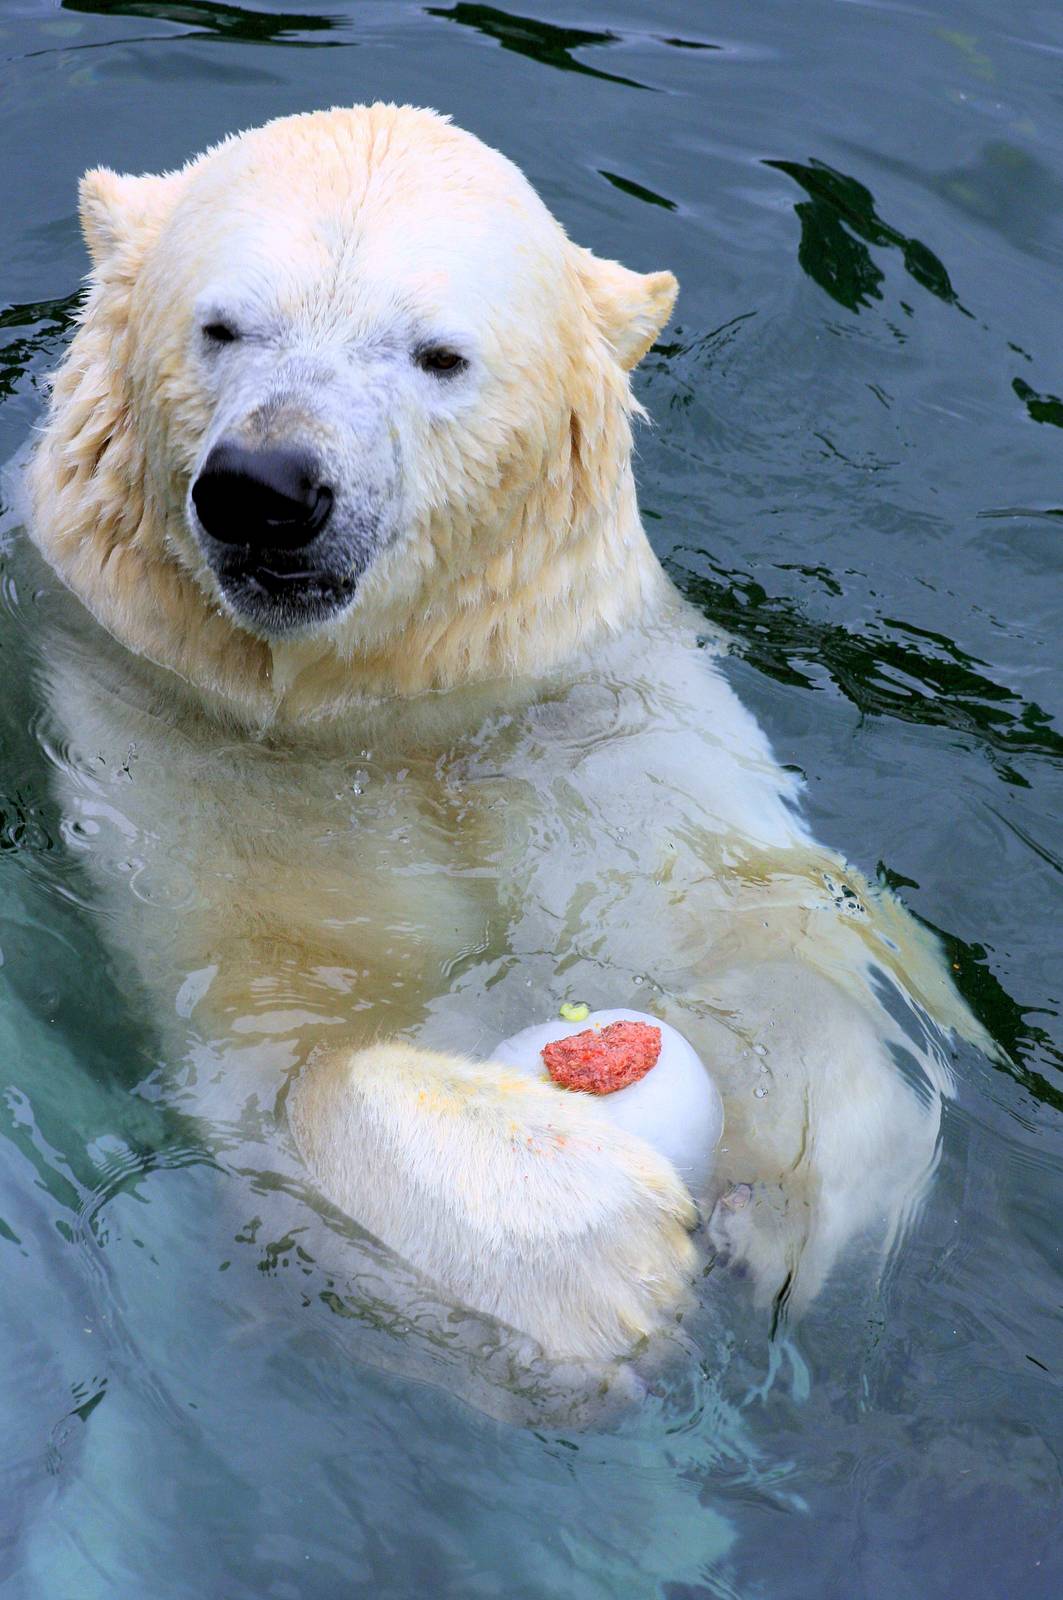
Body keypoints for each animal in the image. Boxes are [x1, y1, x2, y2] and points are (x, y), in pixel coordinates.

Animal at [21, 103, 990, 1375]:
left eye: (439, 354)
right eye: (222, 325)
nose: (268, 485)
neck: (370, 708)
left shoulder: (572, 707)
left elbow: (730, 909)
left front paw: (791, 1176)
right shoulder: (174, 741)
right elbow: (280, 1031)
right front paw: (587, 1242)